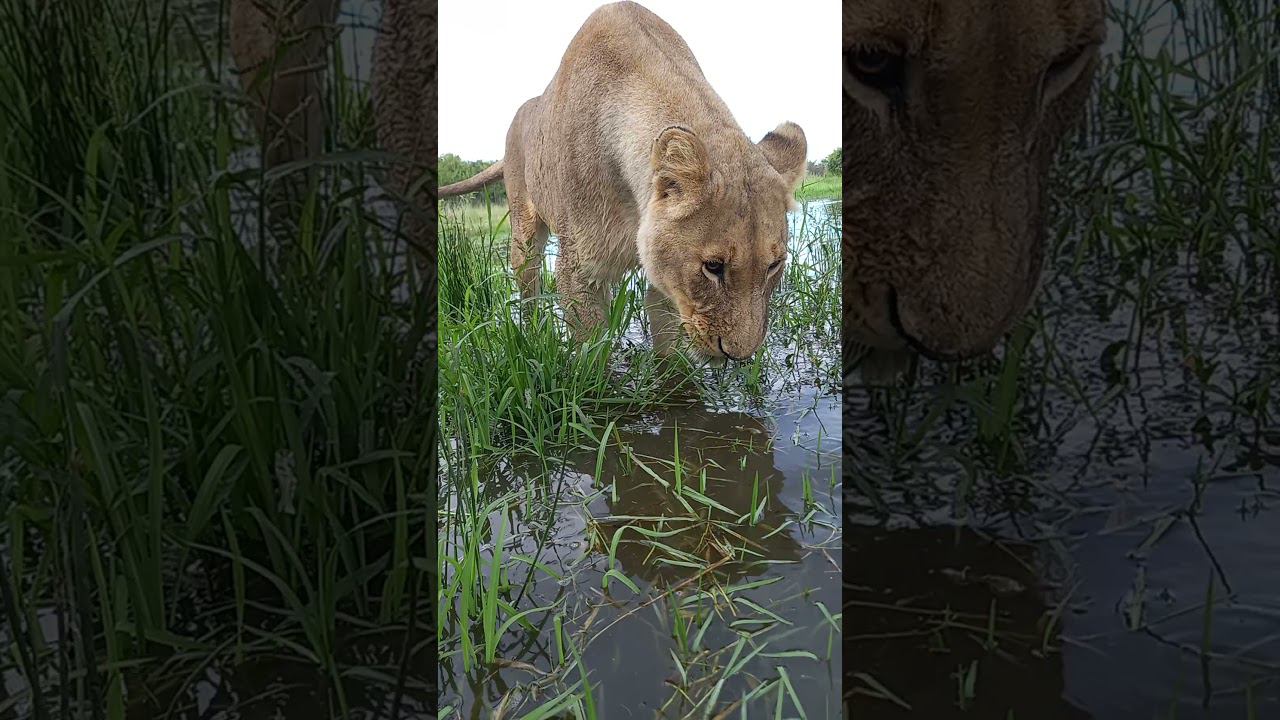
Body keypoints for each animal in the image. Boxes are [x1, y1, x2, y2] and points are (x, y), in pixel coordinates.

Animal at [438, 2, 809, 361]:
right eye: (713, 266)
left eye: (774, 265)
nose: (739, 355)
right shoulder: (577, 272)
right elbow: (592, 361)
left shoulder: (666, 281)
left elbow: (669, 356)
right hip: (523, 230)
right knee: (528, 286)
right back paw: (534, 335)